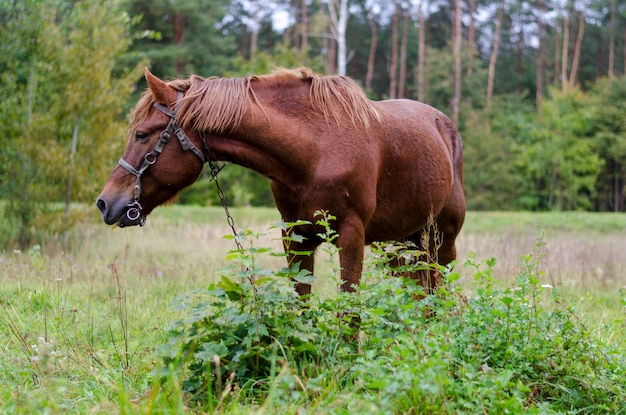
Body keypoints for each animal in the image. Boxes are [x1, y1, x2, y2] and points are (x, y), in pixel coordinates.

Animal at [95, 67, 460, 296]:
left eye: (142, 134)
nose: (104, 202)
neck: (316, 151)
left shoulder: (351, 236)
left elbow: (349, 310)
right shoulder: (295, 237)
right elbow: (301, 303)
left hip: (442, 239)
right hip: (402, 243)